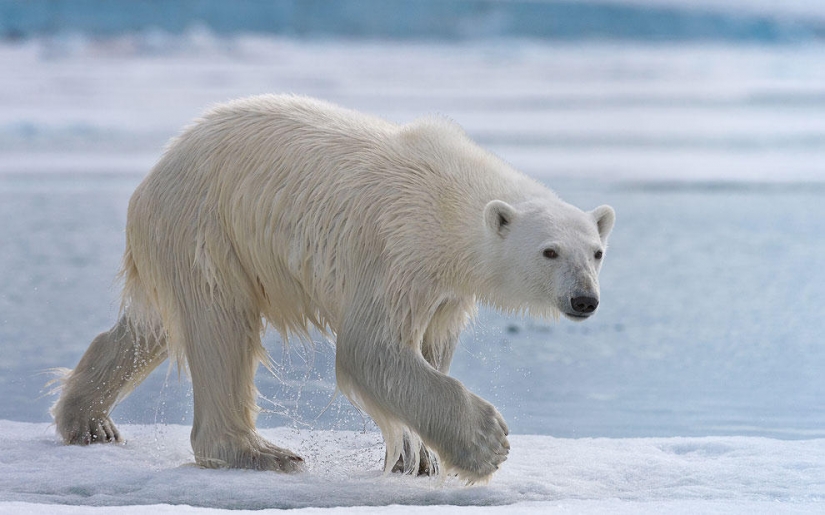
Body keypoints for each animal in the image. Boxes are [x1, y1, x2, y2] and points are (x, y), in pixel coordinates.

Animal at [51, 94, 615, 483]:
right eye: (549, 251)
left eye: (596, 251)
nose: (584, 300)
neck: (450, 201)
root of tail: (153, 174)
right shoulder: (399, 250)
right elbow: (372, 349)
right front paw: (486, 444)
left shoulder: (444, 289)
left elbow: (429, 348)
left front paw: (418, 458)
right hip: (207, 225)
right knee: (220, 328)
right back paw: (260, 452)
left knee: (153, 328)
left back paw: (89, 420)